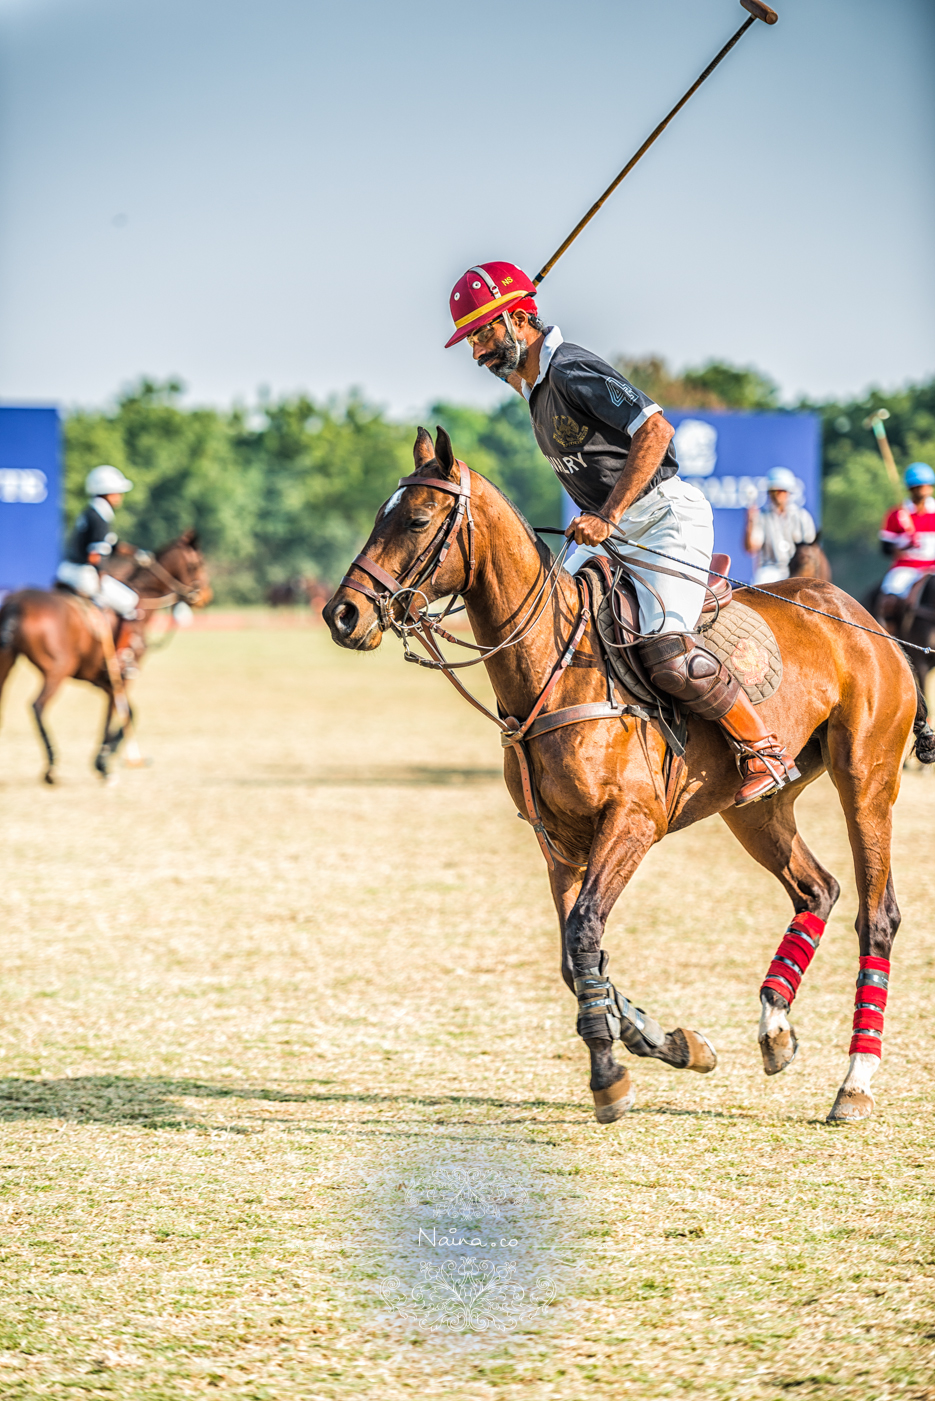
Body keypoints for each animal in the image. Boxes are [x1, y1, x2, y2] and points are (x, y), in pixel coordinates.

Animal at [0, 529, 210, 784]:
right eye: (197, 564)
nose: (205, 596)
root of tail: (15, 604)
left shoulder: (104, 680)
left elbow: (129, 713)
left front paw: (109, 757)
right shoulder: (120, 678)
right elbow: (115, 714)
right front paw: (103, 763)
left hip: (6, 661)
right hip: (58, 668)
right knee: (38, 706)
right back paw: (51, 767)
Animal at [325, 425, 930, 1126]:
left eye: (418, 519)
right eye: (380, 514)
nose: (342, 615)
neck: (552, 668)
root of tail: (869, 623)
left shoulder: (632, 821)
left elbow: (586, 930)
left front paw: (610, 1073)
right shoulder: (558, 841)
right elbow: (574, 954)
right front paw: (672, 1043)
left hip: (866, 775)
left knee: (876, 913)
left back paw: (855, 1082)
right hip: (753, 807)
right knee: (817, 889)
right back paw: (774, 1028)